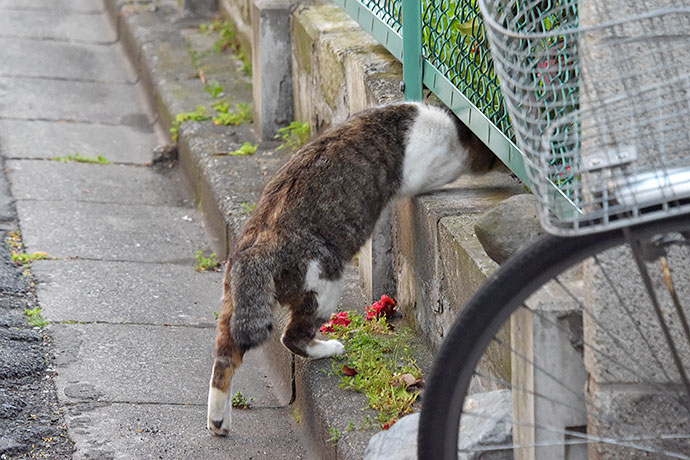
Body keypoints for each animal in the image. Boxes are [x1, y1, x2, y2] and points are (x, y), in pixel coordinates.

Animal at [204, 101, 490, 434]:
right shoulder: (428, 171)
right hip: (324, 283)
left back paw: (218, 420)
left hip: (233, 307)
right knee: (292, 337)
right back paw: (328, 348)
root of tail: (255, 250)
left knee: (225, 358)